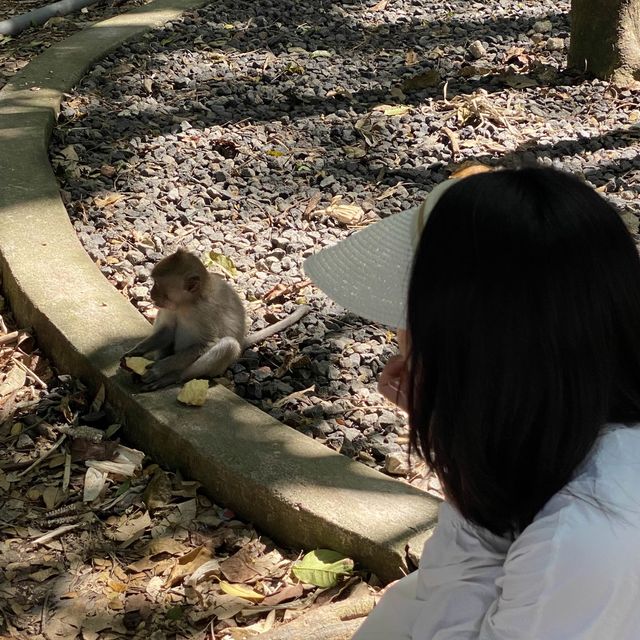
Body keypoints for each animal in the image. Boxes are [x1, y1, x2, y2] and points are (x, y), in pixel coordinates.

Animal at [122, 249, 310, 390]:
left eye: (158, 285)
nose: (151, 294)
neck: (188, 303)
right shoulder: (171, 307)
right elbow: (168, 331)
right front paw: (135, 353)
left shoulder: (205, 312)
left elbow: (209, 343)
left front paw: (159, 369)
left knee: (228, 345)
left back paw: (173, 376)